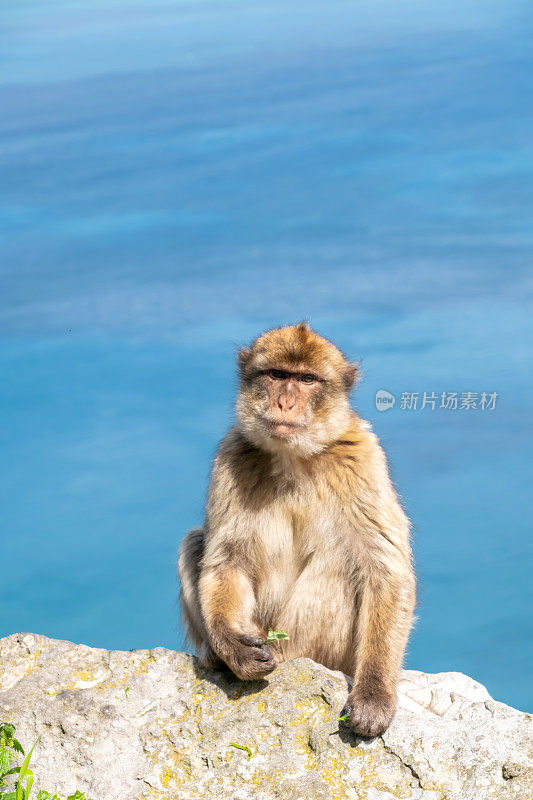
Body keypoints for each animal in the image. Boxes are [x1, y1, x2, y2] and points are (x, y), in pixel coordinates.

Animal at [179, 322, 416, 736]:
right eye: (276, 375)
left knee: (342, 568)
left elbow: (385, 570)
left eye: (306, 380)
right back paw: (220, 658)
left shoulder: (362, 457)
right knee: (196, 542)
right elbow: (227, 561)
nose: (285, 403)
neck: (292, 457)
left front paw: (375, 695)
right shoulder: (232, 454)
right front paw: (234, 649)